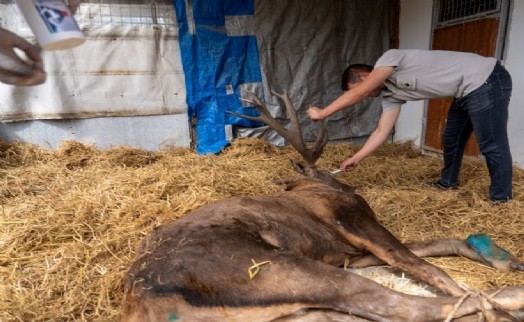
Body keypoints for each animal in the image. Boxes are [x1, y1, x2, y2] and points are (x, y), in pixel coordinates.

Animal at [119, 91, 524, 322]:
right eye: (328, 173)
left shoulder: (349, 251)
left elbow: (431, 246)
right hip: (278, 270)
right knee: (403, 306)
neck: (308, 184)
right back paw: (508, 300)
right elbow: (422, 264)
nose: (348, 182)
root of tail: (144, 303)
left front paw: (500, 258)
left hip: (303, 309)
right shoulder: (352, 219)